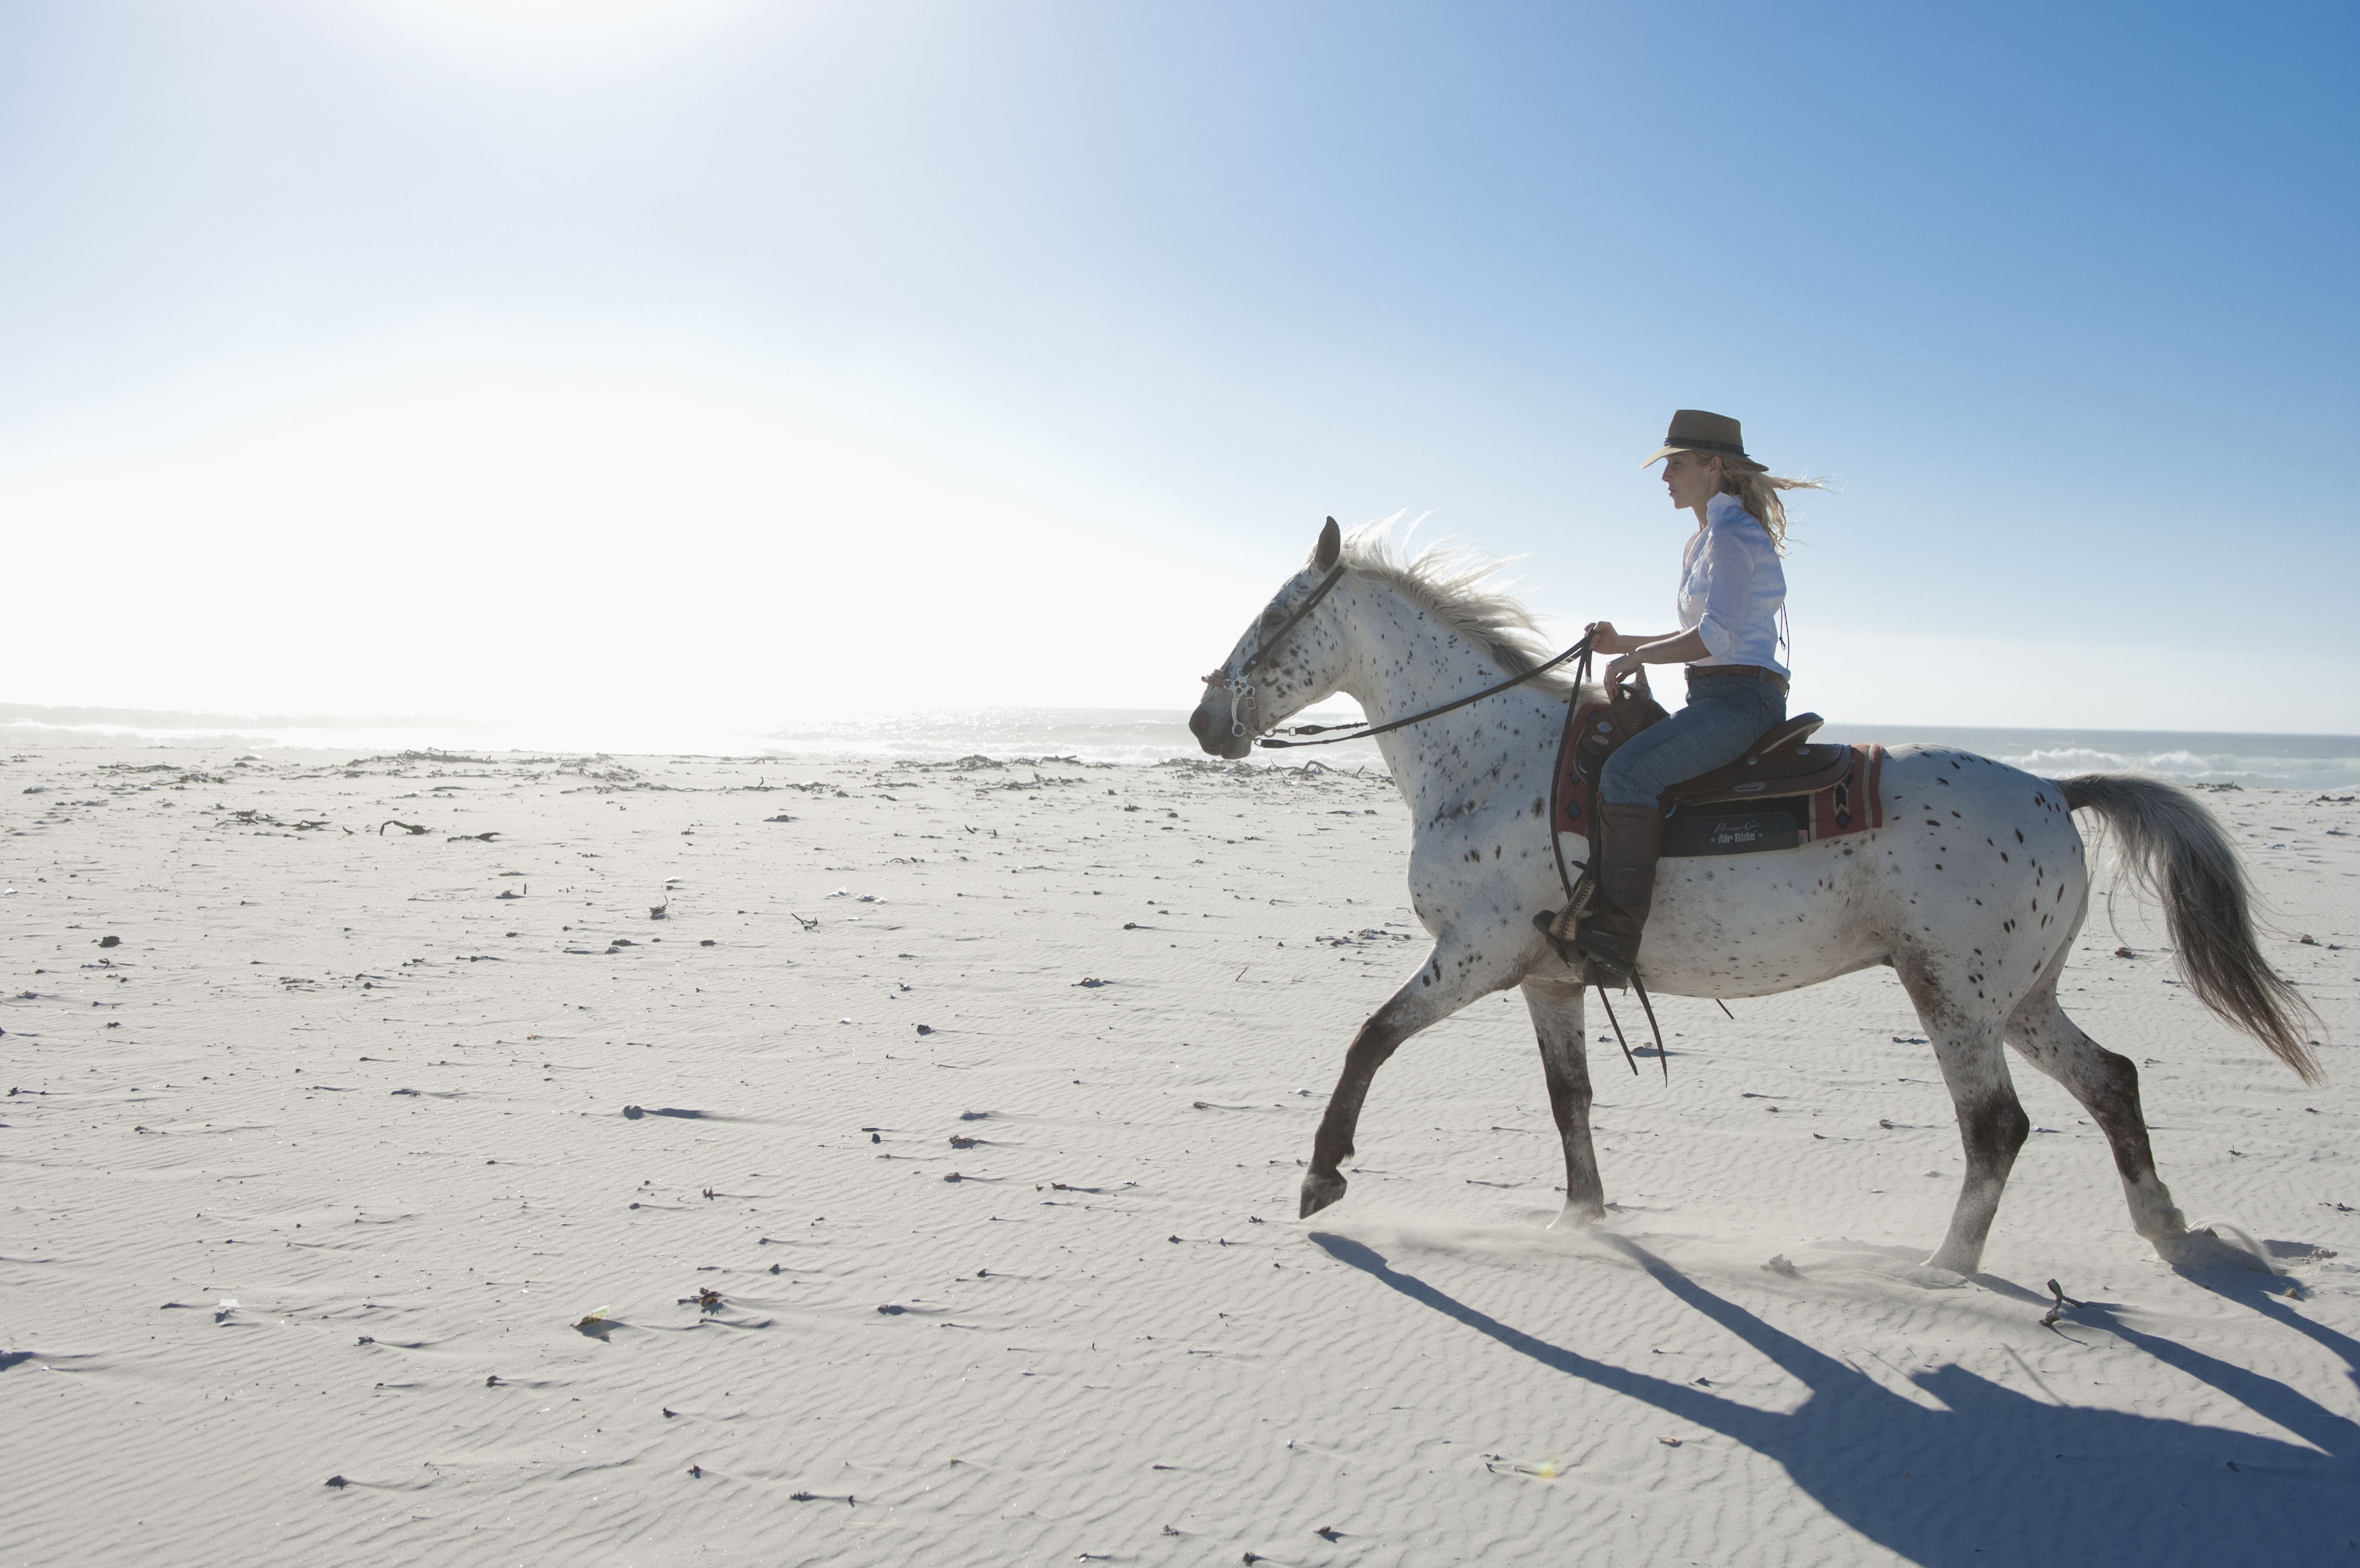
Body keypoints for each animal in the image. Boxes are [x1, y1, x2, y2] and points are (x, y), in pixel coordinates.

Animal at [1189, 519, 2313, 1284]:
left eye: (1276, 615)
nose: (1204, 720)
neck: (1492, 758)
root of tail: (2054, 789)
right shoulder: (1550, 979)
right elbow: (1569, 1098)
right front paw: (1583, 1216)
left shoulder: (1476, 954)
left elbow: (1370, 1038)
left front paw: (1321, 1176)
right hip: (2020, 995)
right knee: (2111, 1079)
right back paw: (2166, 1228)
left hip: (1953, 991)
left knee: (1996, 1124)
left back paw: (1943, 1271)